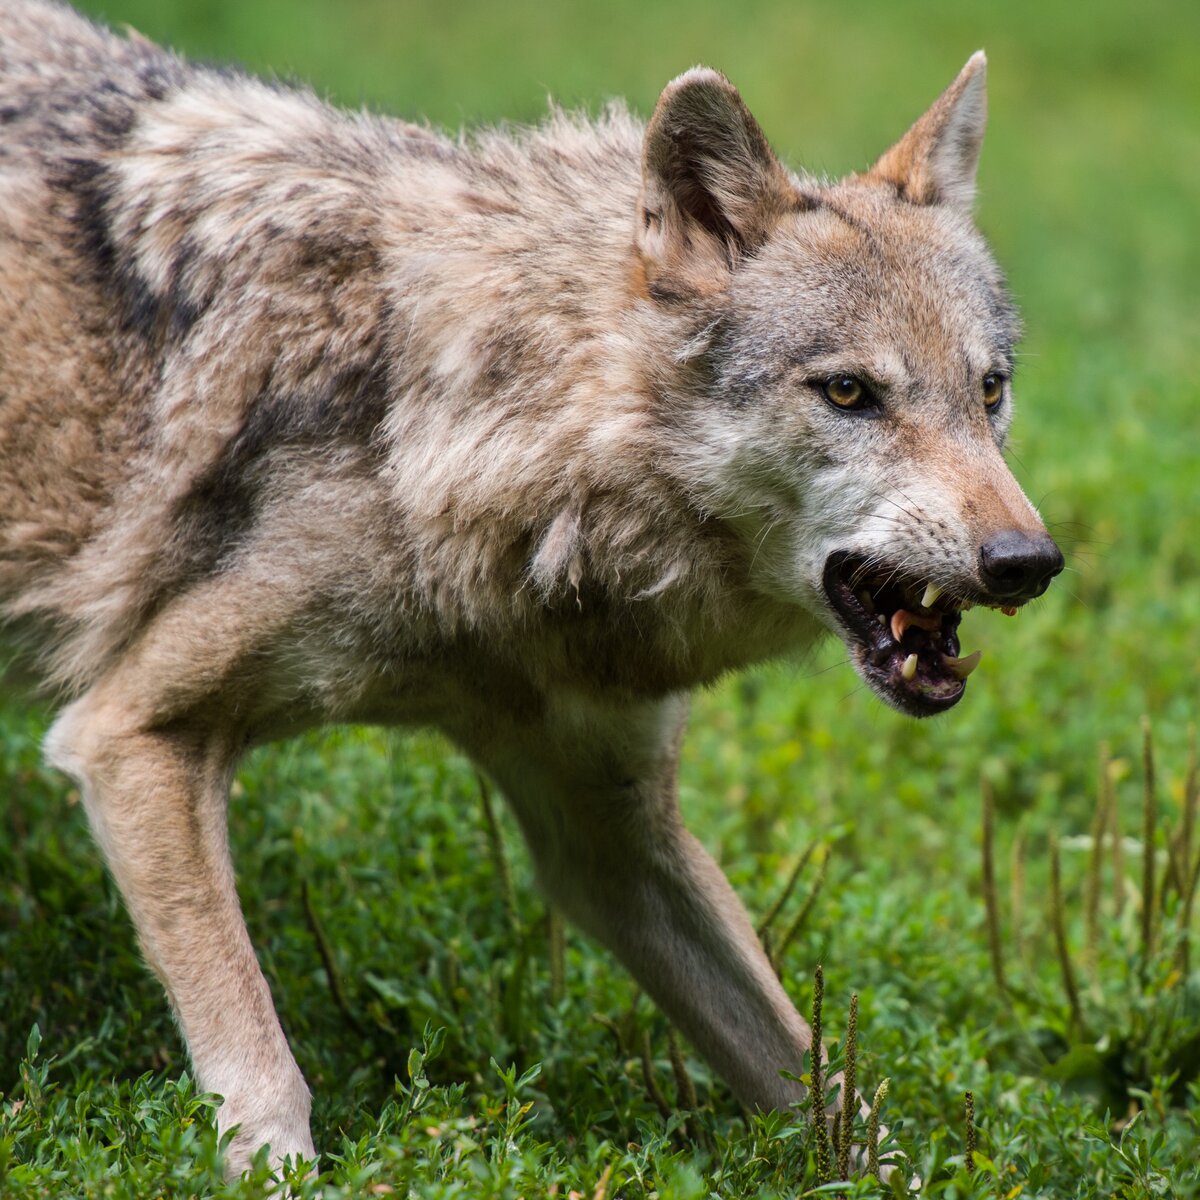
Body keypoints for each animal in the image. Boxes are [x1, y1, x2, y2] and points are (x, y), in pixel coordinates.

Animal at [0, 0, 1060, 1180]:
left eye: (989, 391)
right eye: (848, 393)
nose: (1027, 561)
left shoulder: (611, 837)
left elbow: (825, 1085)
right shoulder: (133, 734)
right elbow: (261, 1071)